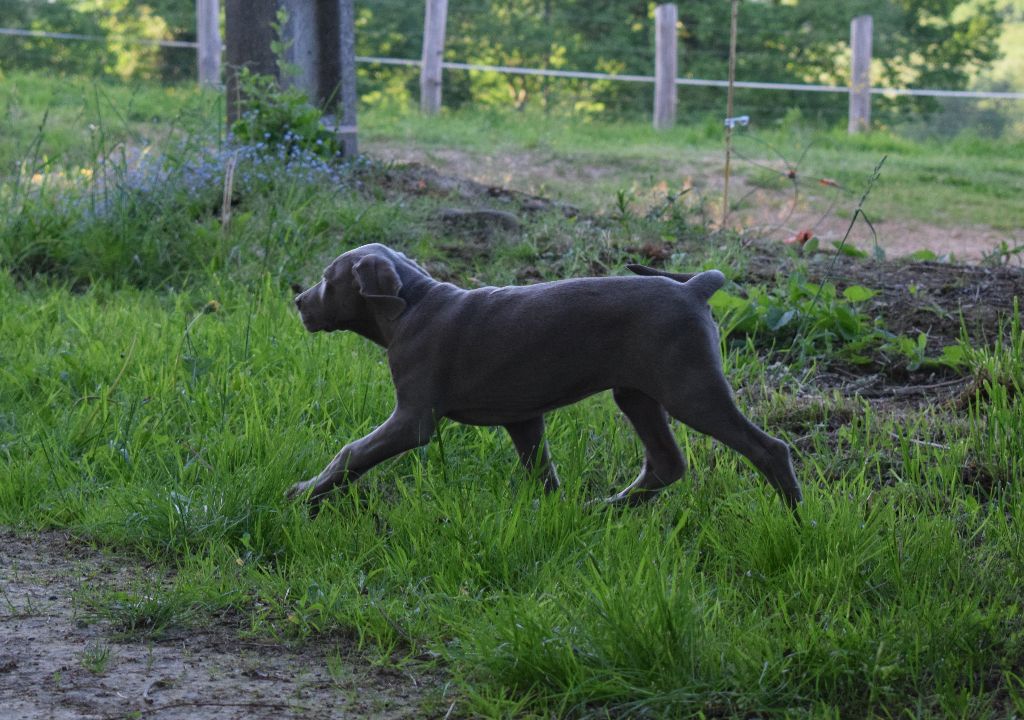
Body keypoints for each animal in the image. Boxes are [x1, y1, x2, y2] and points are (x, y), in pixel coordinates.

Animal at [286, 244, 798, 510]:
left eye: (328, 279)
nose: (297, 301)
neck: (412, 306)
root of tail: (694, 287)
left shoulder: (414, 418)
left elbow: (352, 451)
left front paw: (304, 493)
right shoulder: (523, 417)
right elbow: (541, 470)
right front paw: (549, 513)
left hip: (689, 388)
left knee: (769, 448)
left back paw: (795, 517)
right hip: (636, 393)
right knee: (666, 463)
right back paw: (605, 510)